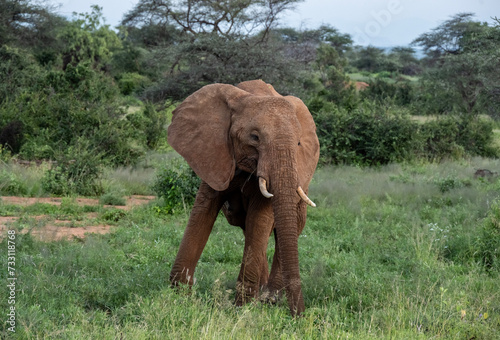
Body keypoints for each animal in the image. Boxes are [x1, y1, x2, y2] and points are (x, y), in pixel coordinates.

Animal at [168, 78, 320, 314]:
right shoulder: (214, 154)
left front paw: (242, 308)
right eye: (255, 137)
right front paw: (177, 297)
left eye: (298, 144)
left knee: (288, 227)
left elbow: (260, 217)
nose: (300, 316)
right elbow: (203, 211)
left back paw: (270, 297)